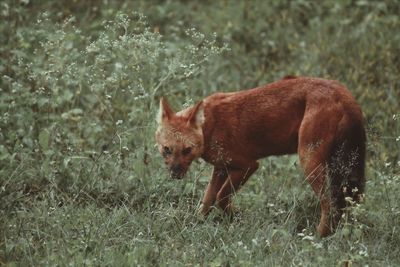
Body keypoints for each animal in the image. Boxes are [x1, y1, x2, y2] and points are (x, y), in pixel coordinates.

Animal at [155, 76, 366, 238]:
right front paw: (196, 225)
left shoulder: (248, 165)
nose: (175, 174)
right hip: (345, 168)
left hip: (310, 161)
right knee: (346, 203)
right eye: (167, 149)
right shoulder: (221, 168)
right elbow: (207, 200)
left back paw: (317, 239)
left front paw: (235, 218)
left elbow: (222, 197)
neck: (209, 127)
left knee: (330, 203)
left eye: (187, 150)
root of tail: (343, 92)